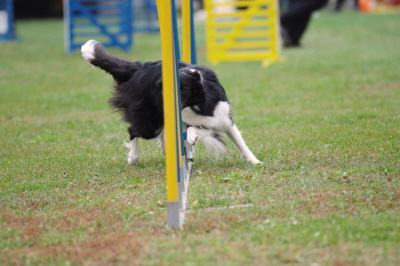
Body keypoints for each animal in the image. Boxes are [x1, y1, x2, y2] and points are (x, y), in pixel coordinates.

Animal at [82, 39, 260, 164]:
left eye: (183, 90)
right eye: (166, 91)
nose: (167, 104)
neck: (197, 104)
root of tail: (139, 67)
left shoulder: (222, 117)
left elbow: (238, 141)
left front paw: (254, 161)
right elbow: (197, 129)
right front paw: (193, 136)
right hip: (149, 121)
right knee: (133, 131)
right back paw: (133, 158)